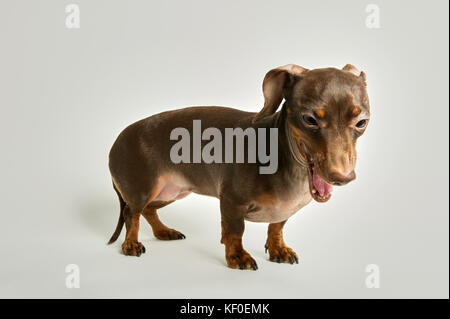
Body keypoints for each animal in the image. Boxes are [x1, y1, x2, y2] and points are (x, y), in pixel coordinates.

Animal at [107, 64, 370, 270]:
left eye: (362, 122)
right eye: (309, 120)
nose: (343, 177)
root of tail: (114, 144)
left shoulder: (283, 211)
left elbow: (277, 227)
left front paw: (278, 249)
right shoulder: (231, 202)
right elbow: (234, 232)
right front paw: (237, 257)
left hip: (171, 192)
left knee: (148, 210)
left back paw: (164, 231)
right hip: (143, 190)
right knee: (132, 214)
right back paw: (131, 243)